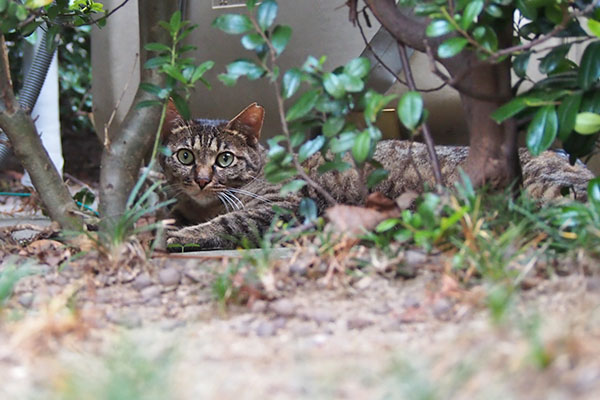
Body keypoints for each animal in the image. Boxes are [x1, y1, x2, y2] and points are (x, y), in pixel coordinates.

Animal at [161, 102, 596, 250]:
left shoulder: (283, 207)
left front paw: (180, 234)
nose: (201, 179)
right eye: (185, 156)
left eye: (224, 160)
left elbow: (230, 222)